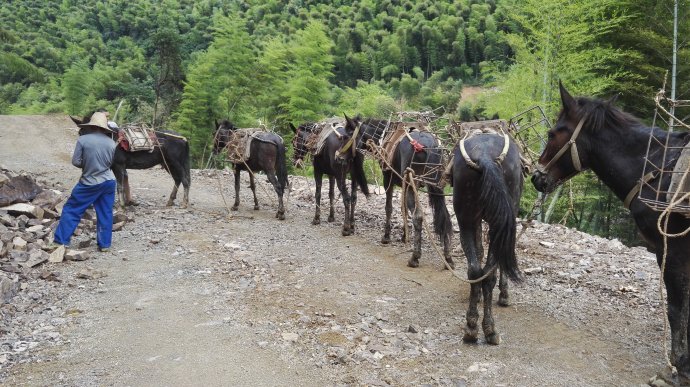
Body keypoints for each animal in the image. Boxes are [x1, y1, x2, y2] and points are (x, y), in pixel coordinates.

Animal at [346, 115, 454, 270]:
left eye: (348, 133)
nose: (340, 154)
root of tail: (430, 145)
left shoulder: (388, 179)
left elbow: (389, 207)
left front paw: (386, 236)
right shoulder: (405, 185)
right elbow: (404, 208)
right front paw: (404, 235)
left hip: (411, 181)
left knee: (418, 216)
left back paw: (415, 256)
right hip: (435, 185)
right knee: (444, 216)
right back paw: (448, 258)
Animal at [448, 131, 520, 346]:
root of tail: (485, 157)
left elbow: (479, 254)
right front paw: (504, 295)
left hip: (466, 218)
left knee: (475, 270)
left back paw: (473, 327)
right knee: (488, 273)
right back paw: (490, 330)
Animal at [532, 82, 688, 382]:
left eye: (552, 133)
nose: (536, 177)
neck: (655, 168)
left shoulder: (671, 251)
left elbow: (677, 309)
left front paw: (676, 367)